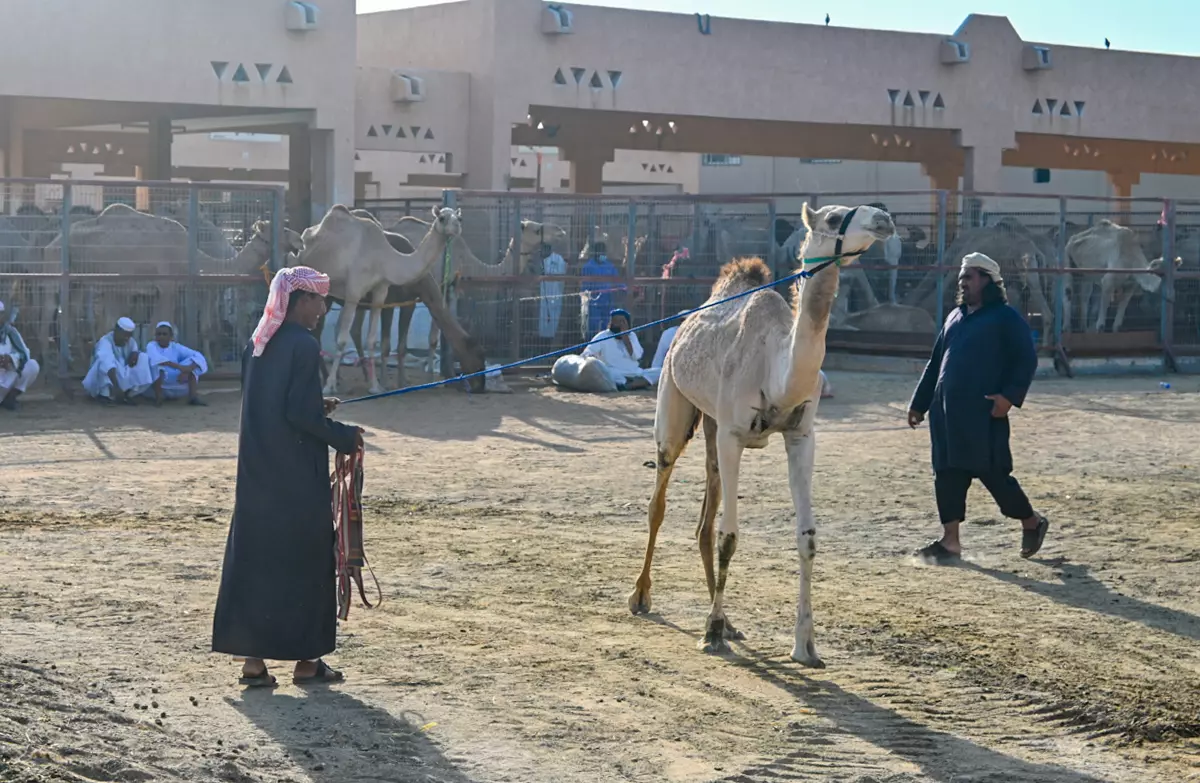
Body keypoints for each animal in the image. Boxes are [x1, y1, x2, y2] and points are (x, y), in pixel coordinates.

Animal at [628, 202, 895, 666]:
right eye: (832, 218)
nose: (884, 218)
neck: (779, 369)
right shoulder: (734, 434)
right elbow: (730, 537)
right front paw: (711, 634)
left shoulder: (801, 435)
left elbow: (807, 538)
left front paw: (805, 646)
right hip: (674, 407)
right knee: (659, 501)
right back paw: (642, 596)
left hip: (712, 426)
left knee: (703, 520)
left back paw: (729, 621)